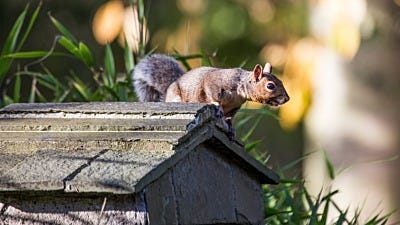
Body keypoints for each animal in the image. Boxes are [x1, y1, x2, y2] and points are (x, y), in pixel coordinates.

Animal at [133, 54, 290, 124]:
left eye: (281, 81)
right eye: (270, 85)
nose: (287, 98)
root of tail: (166, 94)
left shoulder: (235, 106)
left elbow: (230, 116)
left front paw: (231, 127)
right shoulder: (215, 82)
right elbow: (211, 93)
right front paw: (217, 106)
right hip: (176, 96)